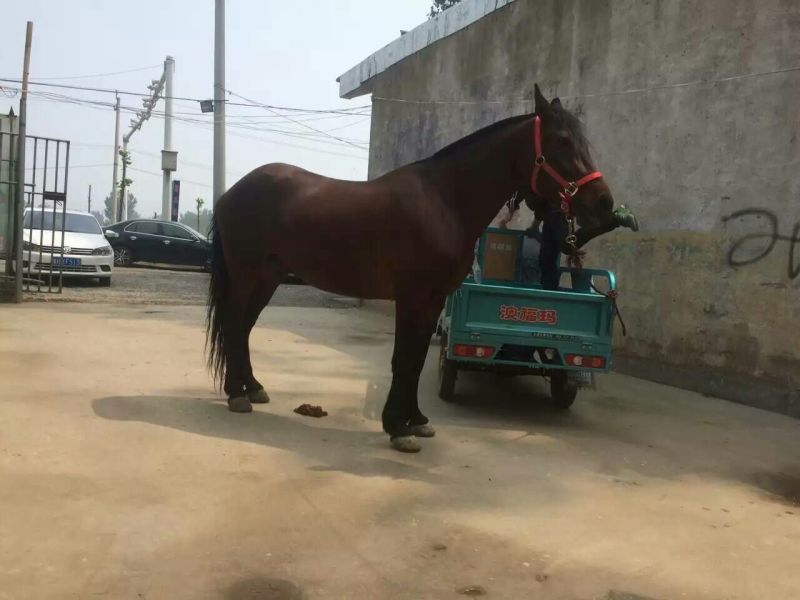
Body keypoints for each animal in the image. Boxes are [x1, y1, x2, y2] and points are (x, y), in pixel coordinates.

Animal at [207, 84, 618, 453]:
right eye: (562, 141)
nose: (605, 203)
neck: (444, 202)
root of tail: (231, 193)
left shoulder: (433, 301)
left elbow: (417, 361)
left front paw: (415, 420)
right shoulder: (411, 297)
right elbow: (403, 360)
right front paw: (397, 427)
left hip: (268, 278)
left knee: (243, 328)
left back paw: (252, 388)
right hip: (246, 276)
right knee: (234, 324)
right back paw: (236, 395)